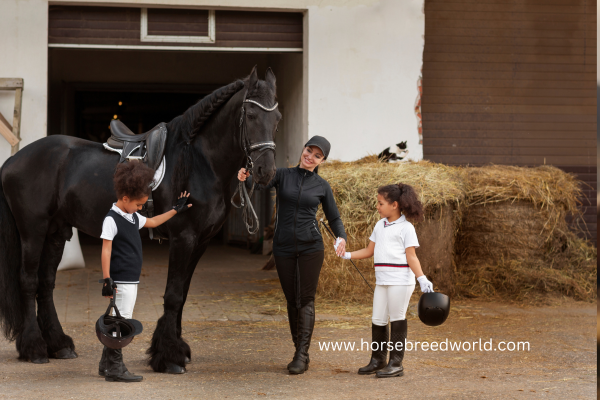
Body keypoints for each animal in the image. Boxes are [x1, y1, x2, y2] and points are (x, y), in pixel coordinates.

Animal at [0, 66, 278, 372]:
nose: (266, 171)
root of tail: (12, 162)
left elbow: (183, 294)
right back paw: (35, 348)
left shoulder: (201, 241)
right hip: (33, 230)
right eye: (250, 115)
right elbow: (174, 294)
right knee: (28, 281)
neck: (199, 161)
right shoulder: (183, 238)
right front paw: (169, 357)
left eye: (277, 118)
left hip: (56, 232)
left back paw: (59, 345)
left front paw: (173, 349)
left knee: (46, 283)